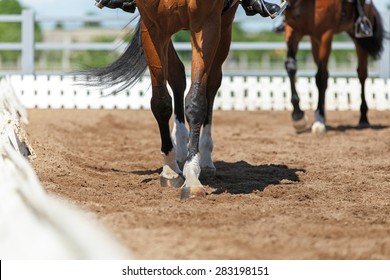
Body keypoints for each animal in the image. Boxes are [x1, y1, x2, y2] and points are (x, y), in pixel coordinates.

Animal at [83, 1, 239, 200]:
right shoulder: (153, 26)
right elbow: (161, 103)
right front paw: (170, 169)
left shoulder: (207, 22)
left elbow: (196, 102)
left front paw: (192, 177)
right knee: (177, 75)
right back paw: (180, 146)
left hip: (224, 25)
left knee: (211, 85)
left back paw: (204, 156)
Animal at [284, 0, 386, 133]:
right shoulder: (293, 30)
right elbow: (291, 66)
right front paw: (298, 117)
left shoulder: (325, 34)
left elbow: (320, 78)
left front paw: (318, 121)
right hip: (314, 40)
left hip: (359, 39)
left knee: (362, 74)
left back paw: (363, 119)